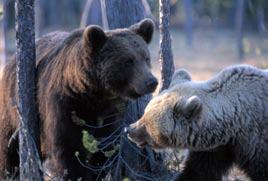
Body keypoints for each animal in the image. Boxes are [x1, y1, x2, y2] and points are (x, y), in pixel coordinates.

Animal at [0, 18, 157, 180]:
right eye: (128, 61)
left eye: (146, 58)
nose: (151, 82)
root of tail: (11, 60)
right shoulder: (64, 105)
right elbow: (68, 147)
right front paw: (76, 174)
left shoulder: (111, 112)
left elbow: (106, 145)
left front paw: (100, 172)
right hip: (11, 107)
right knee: (8, 146)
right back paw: (9, 172)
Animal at [127, 65, 268, 181]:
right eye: (144, 113)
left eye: (146, 123)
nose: (128, 129)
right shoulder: (218, 148)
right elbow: (198, 171)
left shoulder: (255, 141)